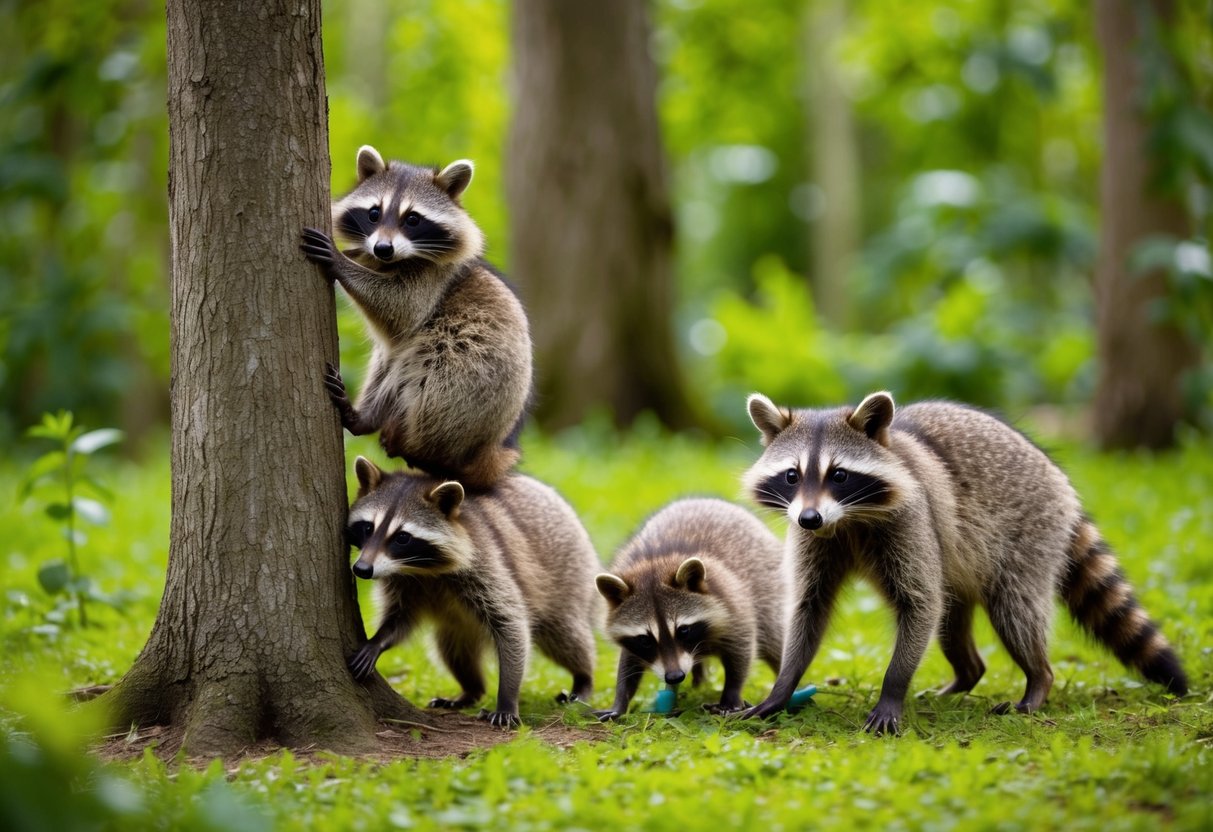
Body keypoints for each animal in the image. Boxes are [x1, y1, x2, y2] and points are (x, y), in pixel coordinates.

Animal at [300, 146, 532, 490]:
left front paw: (341, 261)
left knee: (423, 359)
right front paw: (354, 254)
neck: (394, 260)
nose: (382, 248)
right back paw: (365, 415)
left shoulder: (434, 281)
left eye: (412, 219)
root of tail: (486, 452)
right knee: (385, 363)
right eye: (374, 213)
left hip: (460, 390)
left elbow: (402, 307)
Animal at [345, 457, 601, 728]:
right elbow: (400, 618)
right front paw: (378, 639)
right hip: (458, 630)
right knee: (454, 652)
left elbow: (511, 625)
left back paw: (584, 676)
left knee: (566, 637)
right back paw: (471, 690)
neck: (421, 568)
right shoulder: (402, 582)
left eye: (402, 537)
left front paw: (507, 698)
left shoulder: (485, 562)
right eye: (368, 528)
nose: (362, 569)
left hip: (570, 577)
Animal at [594, 498, 785, 720]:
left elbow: (741, 651)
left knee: (773, 638)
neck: (655, 564)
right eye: (645, 639)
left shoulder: (733, 604)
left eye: (683, 630)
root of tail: (704, 500)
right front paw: (621, 700)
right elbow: (629, 662)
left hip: (769, 590)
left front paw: (731, 694)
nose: (675, 676)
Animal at [743, 391, 1188, 735]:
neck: (846, 520)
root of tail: (1058, 480)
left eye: (839, 475)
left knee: (1015, 612)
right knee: (951, 622)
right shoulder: (814, 539)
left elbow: (920, 603)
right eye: (791, 475)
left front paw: (893, 688)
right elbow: (810, 606)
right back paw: (965, 675)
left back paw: (1037, 679)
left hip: (1030, 534)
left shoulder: (912, 518)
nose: (810, 518)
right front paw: (783, 687)